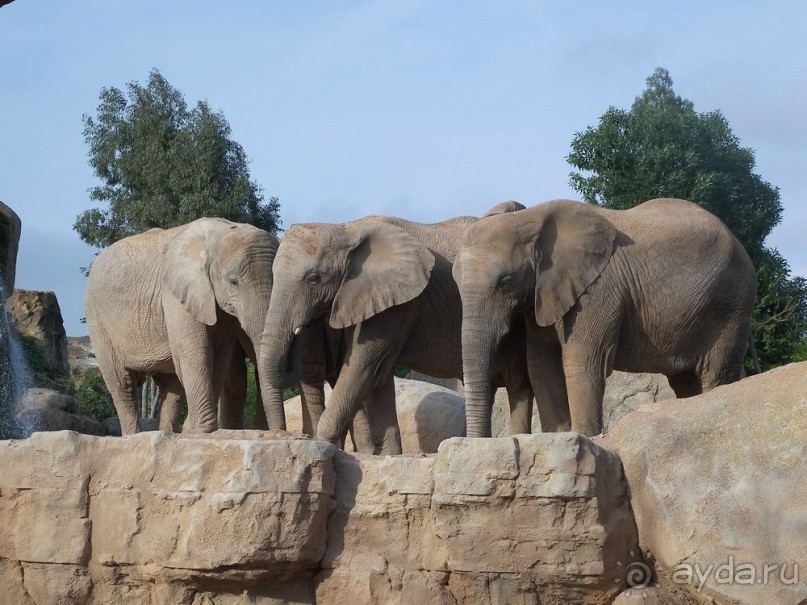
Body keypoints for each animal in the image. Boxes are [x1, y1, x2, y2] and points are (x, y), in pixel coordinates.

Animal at [84, 217, 284, 434]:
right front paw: (202, 430)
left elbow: (219, 356)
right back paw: (134, 436)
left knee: (172, 387)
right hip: (97, 318)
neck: (220, 230)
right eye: (233, 282)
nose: (277, 431)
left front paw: (191, 430)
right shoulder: (175, 294)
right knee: (123, 382)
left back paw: (168, 433)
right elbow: (196, 352)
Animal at [262, 203, 532, 452]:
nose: (300, 328)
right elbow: (378, 374)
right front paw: (388, 454)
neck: (346, 229)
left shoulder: (397, 306)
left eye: (313, 278)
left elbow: (363, 366)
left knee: (517, 383)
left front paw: (327, 446)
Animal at [452, 196, 760, 436]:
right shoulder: (543, 295)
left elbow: (583, 362)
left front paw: (585, 440)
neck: (530, 218)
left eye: (506, 280)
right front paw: (559, 440)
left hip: (731, 306)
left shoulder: (598, 289)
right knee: (684, 380)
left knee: (715, 374)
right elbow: (541, 367)